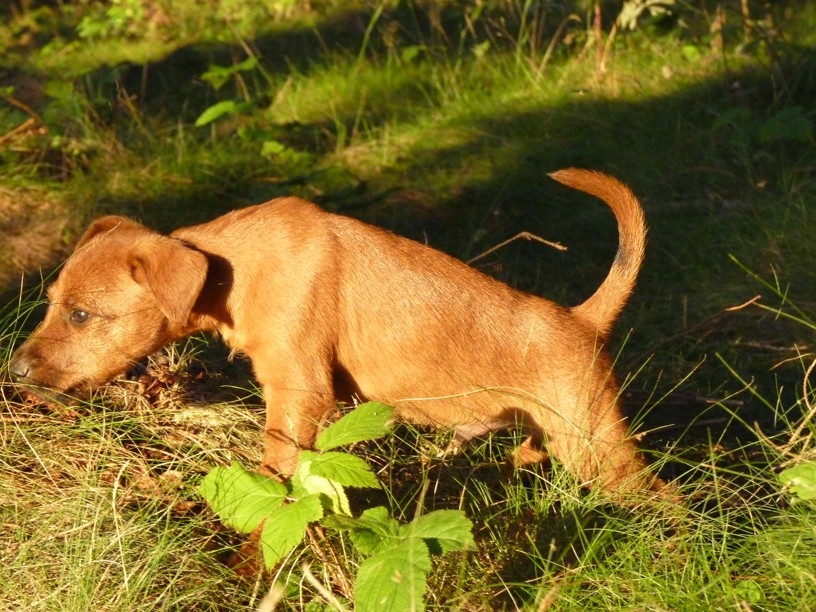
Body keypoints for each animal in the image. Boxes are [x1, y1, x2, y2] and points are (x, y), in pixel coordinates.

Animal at [9, 168, 668, 499]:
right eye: (52, 304)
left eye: (80, 315)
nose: (13, 373)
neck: (231, 268)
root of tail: (582, 319)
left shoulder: (298, 390)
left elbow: (278, 470)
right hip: (547, 439)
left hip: (598, 448)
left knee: (668, 506)